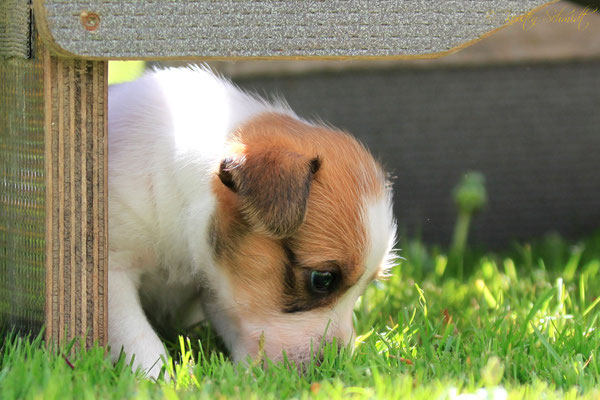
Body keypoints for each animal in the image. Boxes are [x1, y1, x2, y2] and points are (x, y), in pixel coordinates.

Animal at [107, 67, 396, 376]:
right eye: (322, 279)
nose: (336, 366)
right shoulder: (114, 269)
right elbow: (138, 335)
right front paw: (158, 377)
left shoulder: (217, 286)